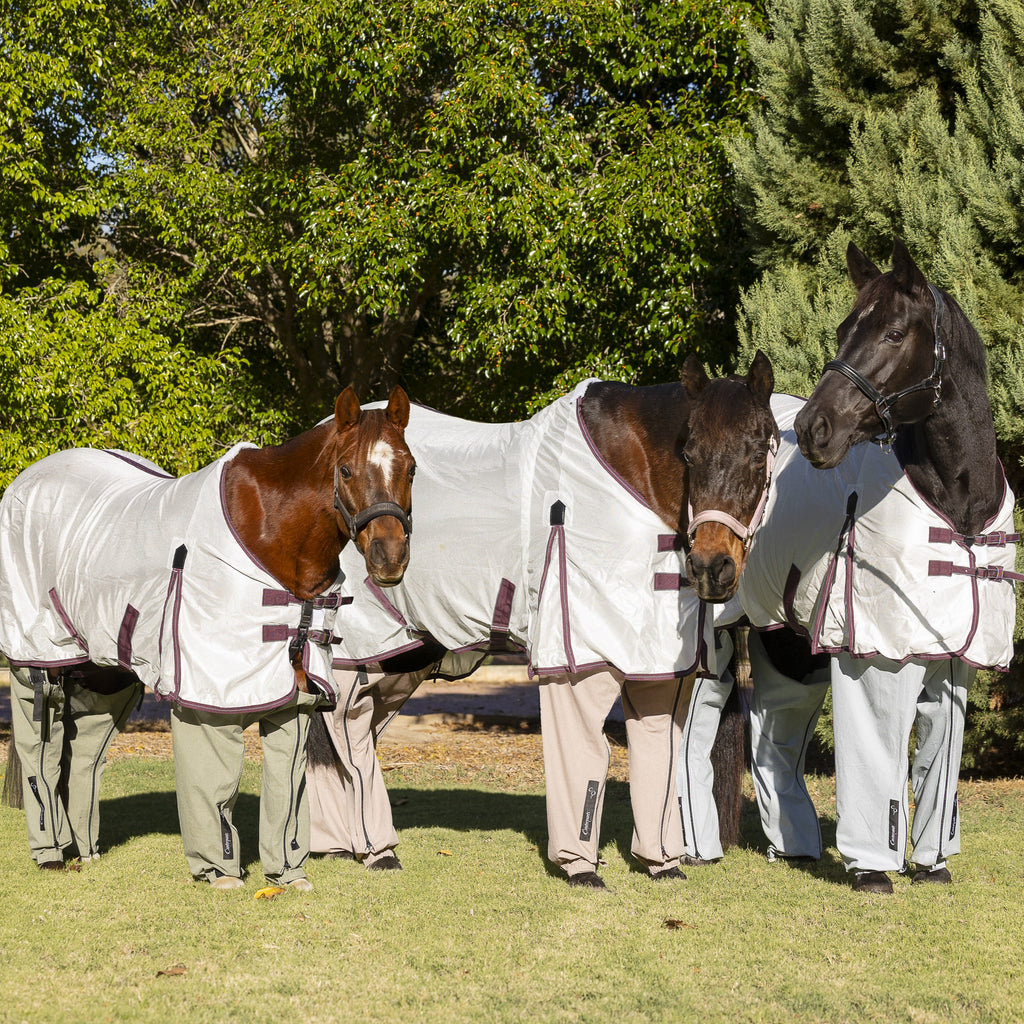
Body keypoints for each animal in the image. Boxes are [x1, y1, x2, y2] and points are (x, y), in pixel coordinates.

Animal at [1, 386, 415, 891]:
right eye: (346, 469)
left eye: (411, 468)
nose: (389, 557)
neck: (268, 530)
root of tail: (27, 480)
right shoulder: (209, 694)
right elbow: (213, 779)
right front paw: (219, 872)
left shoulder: (297, 693)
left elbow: (289, 787)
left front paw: (288, 874)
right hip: (36, 662)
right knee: (40, 750)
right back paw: (51, 854)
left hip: (104, 677)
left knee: (82, 757)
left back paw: (86, 850)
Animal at [305, 354, 780, 887]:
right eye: (691, 454)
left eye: (758, 452)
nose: (711, 567)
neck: (630, 477)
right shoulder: (576, 660)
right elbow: (587, 755)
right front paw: (580, 867)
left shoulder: (658, 667)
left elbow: (660, 759)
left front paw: (663, 863)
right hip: (357, 655)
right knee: (345, 731)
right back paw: (374, 849)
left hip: (401, 657)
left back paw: (341, 844)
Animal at [725, 240, 1017, 893]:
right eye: (842, 330)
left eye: (893, 332)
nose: (814, 429)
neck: (958, 505)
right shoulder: (875, 655)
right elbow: (877, 750)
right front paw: (871, 870)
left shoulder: (952, 662)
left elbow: (938, 759)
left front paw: (933, 865)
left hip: (787, 642)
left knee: (775, 732)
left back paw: (793, 846)